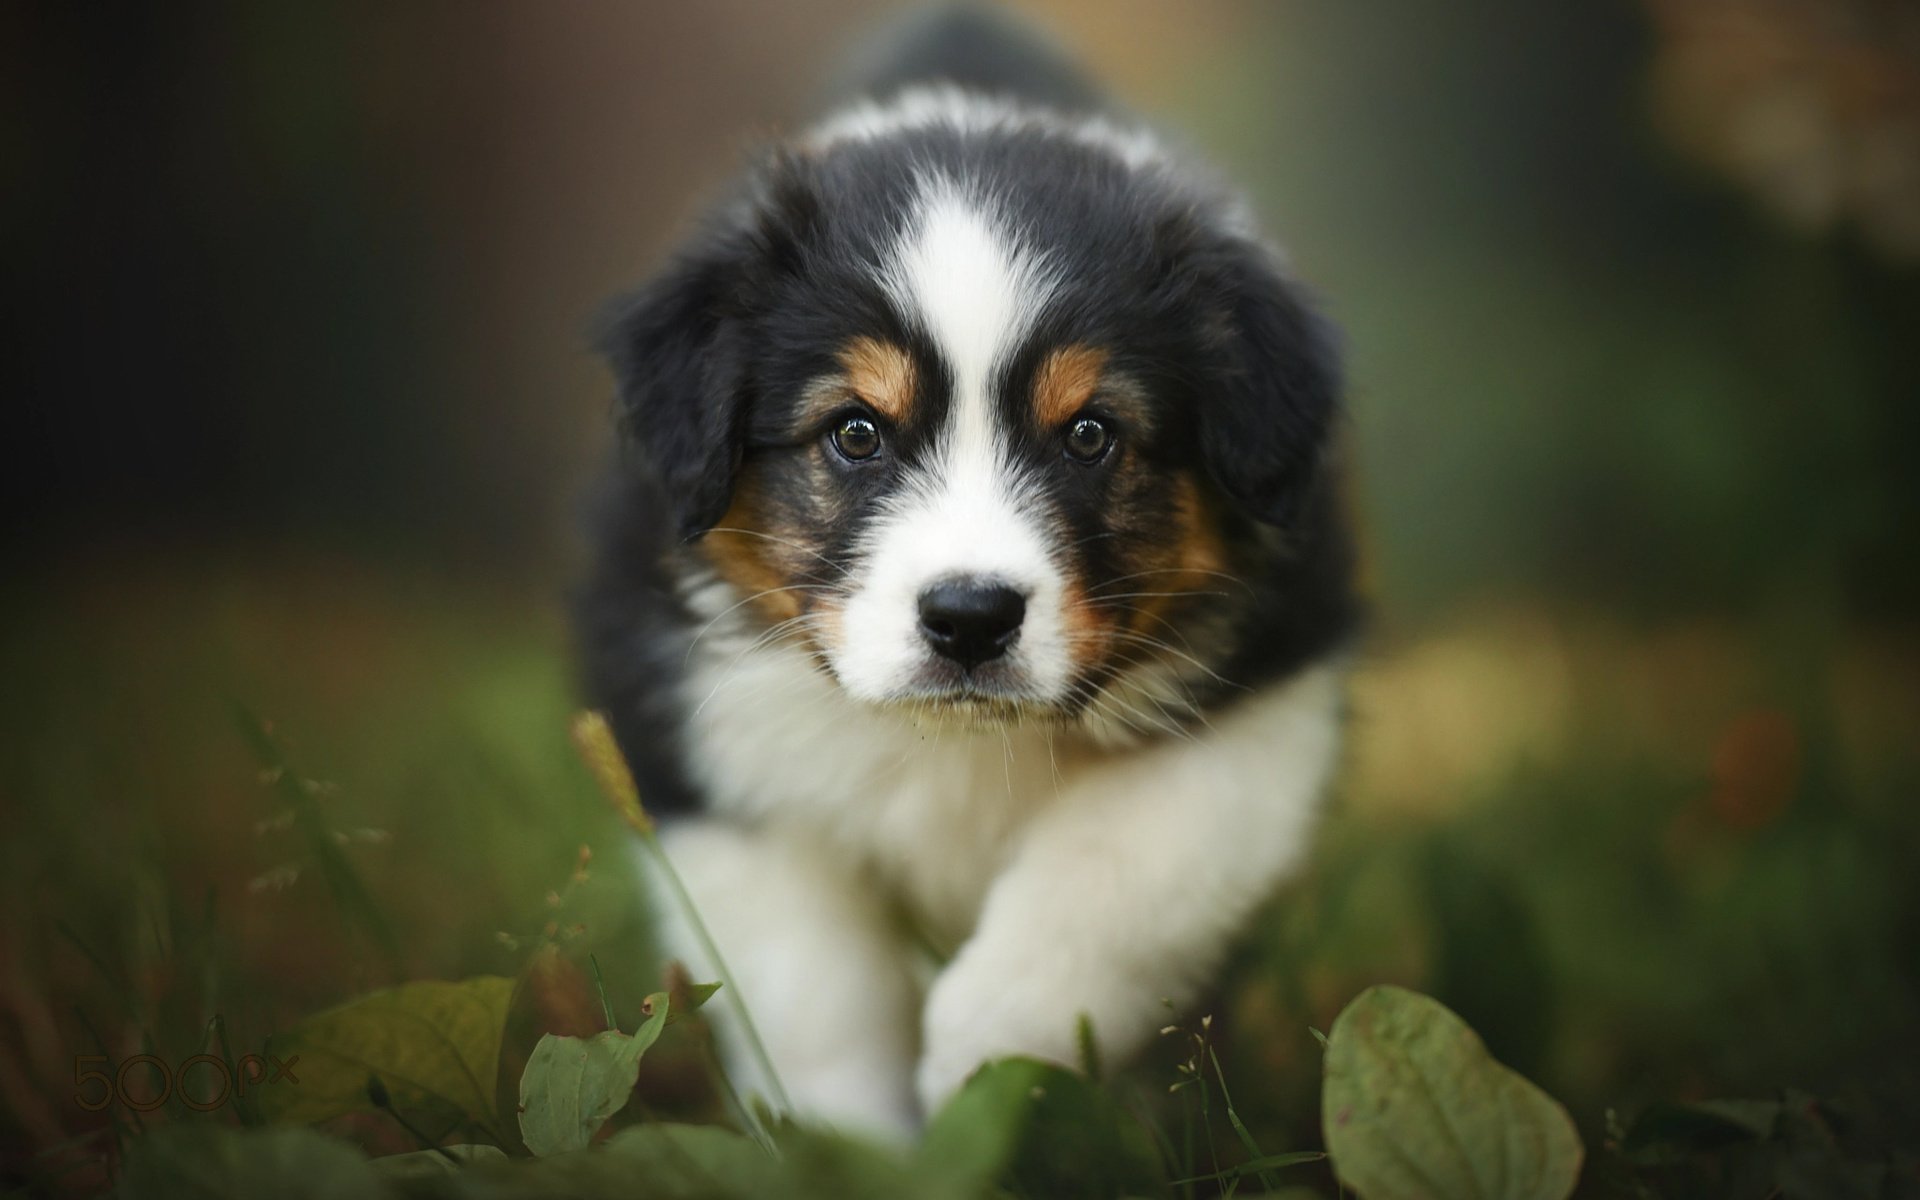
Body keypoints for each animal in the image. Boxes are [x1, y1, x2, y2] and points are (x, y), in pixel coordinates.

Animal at [576, 7, 1359, 1128]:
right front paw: (853, 1137)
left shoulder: (1269, 691)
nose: (970, 619)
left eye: (1090, 434)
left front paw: (997, 1050)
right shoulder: (685, 723)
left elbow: (1124, 866)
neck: (956, 740)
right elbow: (806, 977)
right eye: (856, 432)